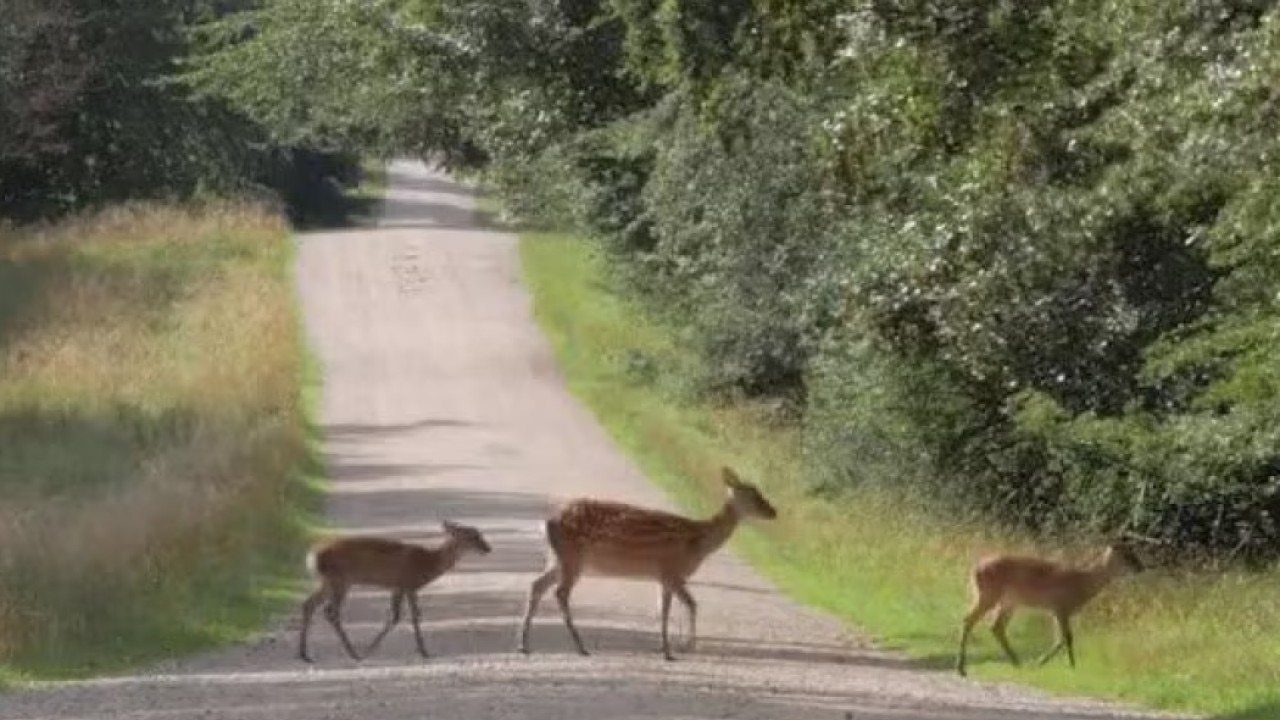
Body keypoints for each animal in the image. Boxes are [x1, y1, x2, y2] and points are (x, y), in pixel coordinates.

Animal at [297, 520, 492, 663]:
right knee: (331, 612)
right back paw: (354, 653)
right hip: (339, 580)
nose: (487, 548)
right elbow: (412, 616)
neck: (429, 564)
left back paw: (305, 654)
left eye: (479, 533)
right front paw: (424, 652)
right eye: (472, 536)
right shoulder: (409, 584)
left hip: (328, 582)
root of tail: (313, 555)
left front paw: (372, 648)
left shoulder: (398, 586)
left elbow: (395, 616)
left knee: (308, 604)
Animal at [516, 466, 778, 661]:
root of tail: (547, 522)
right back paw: (580, 646)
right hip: (573, 557)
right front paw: (680, 649)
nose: (773, 511)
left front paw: (669, 648)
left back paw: (524, 645)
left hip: (558, 558)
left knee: (536, 585)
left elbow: (666, 610)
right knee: (560, 593)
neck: (698, 541)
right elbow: (687, 606)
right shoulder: (673, 570)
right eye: (754, 494)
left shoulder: (665, 577)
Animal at [955, 539, 1145, 677]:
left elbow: (1061, 638)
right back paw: (961, 668)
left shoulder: (1056, 610)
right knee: (969, 620)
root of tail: (975, 569)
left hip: (1009, 601)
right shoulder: (1061, 607)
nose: (1141, 567)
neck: (1083, 583)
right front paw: (1066, 665)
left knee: (995, 626)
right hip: (989, 594)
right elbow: (1066, 638)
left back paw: (1016, 662)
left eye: (1133, 551)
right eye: (1127, 554)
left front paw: (1048, 662)